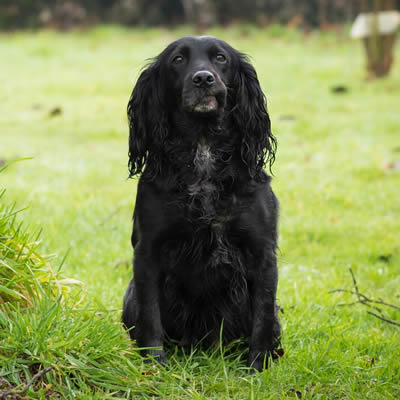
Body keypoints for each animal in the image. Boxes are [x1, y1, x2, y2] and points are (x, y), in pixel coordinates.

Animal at [122, 36, 282, 370]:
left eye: (220, 58)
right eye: (178, 60)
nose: (204, 78)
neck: (203, 150)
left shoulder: (262, 253)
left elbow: (262, 317)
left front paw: (257, 368)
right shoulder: (148, 253)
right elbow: (150, 317)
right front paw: (155, 365)